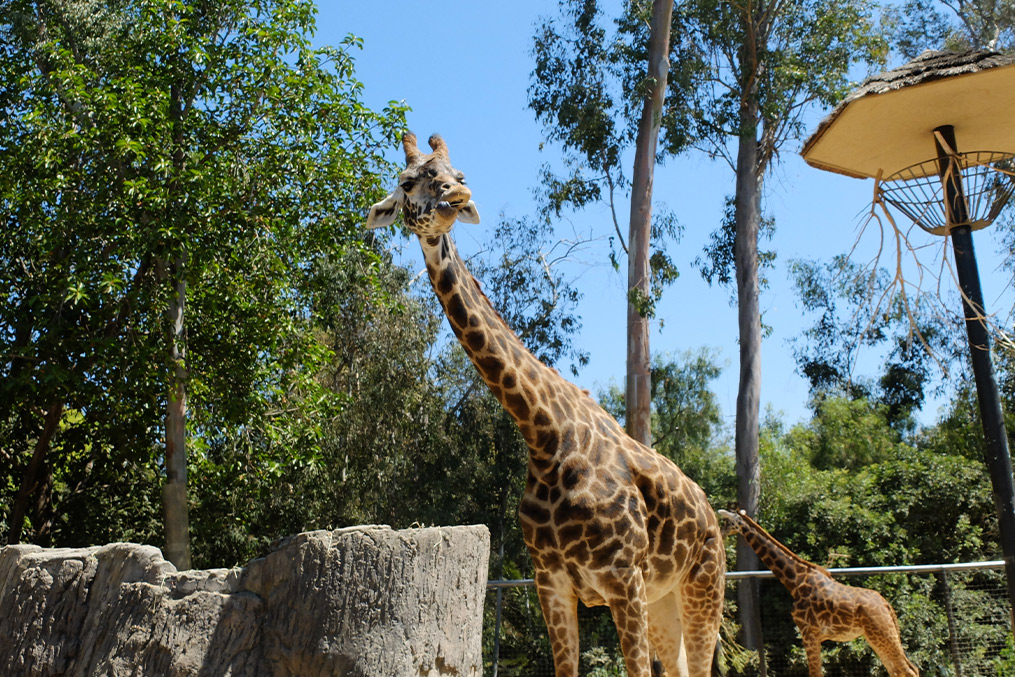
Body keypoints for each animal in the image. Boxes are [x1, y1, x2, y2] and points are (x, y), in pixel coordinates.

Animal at [366, 132, 725, 677]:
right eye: (408, 182)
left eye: (458, 174)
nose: (457, 198)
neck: (545, 433)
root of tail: (712, 512)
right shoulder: (551, 582)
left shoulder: (624, 580)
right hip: (665, 598)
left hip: (703, 584)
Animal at [718, 509, 919, 677]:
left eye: (726, 522)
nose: (721, 534)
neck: (795, 582)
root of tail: (886, 605)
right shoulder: (814, 636)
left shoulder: (808, 633)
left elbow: (814, 673)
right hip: (876, 635)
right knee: (898, 669)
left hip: (882, 633)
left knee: (908, 670)